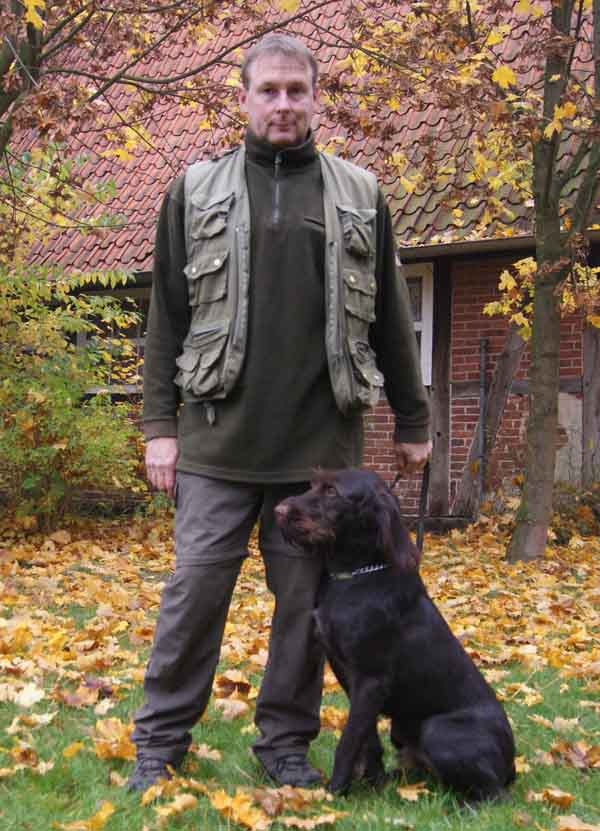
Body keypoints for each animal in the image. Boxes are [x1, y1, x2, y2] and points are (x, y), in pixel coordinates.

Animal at [275, 468, 516, 801]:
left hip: (439, 731)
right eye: (313, 485)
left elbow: (348, 740)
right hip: (402, 731)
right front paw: (373, 783)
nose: (278, 511)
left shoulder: (371, 680)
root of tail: (512, 763)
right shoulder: (351, 679)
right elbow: (366, 738)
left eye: (332, 491)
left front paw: (334, 793)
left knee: (495, 796)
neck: (356, 575)